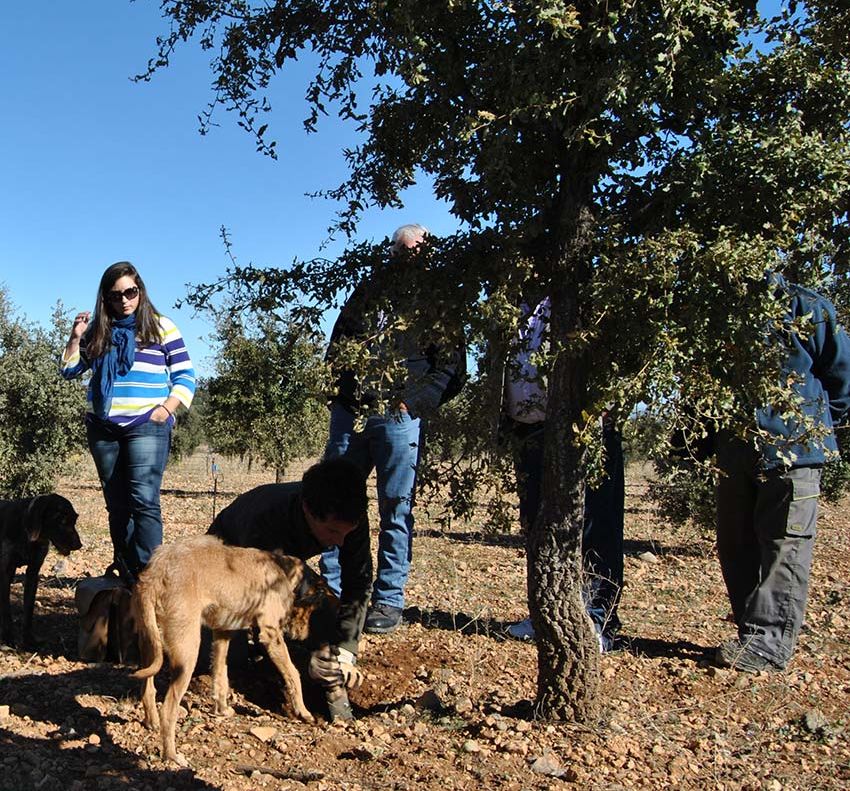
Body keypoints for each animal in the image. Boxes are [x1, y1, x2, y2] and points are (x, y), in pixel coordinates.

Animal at [0, 496, 81, 648]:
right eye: (62, 521)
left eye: (74, 520)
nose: (79, 545)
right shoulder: (4, 573)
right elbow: (6, 611)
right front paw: (8, 638)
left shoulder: (33, 572)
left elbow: (29, 610)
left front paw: (28, 639)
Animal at [131, 536, 336, 764]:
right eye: (312, 611)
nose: (302, 635)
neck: (283, 567)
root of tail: (154, 574)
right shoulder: (270, 634)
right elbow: (293, 673)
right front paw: (303, 711)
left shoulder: (222, 633)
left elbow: (221, 674)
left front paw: (222, 709)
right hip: (187, 652)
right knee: (168, 711)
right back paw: (172, 756)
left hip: (149, 644)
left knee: (147, 689)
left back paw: (151, 722)